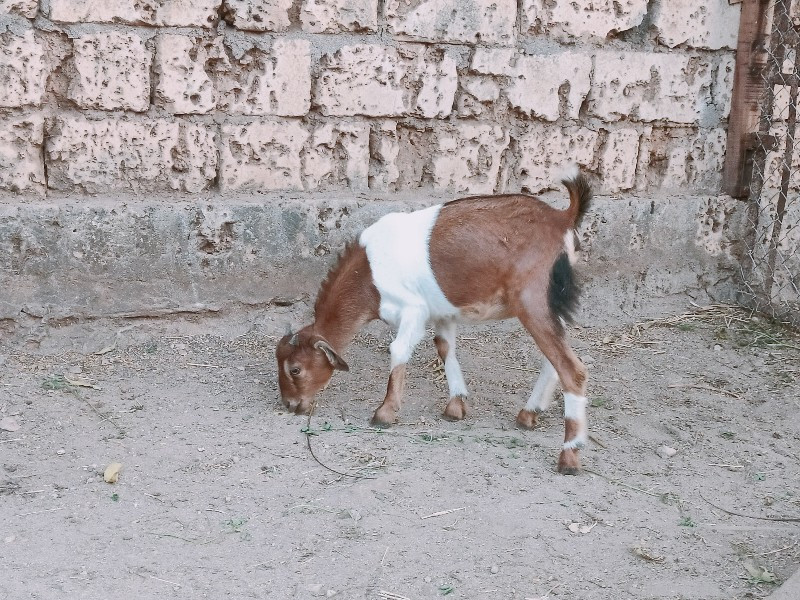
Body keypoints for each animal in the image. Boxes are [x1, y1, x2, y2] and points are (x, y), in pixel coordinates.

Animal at [276, 171, 592, 476]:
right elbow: (444, 347)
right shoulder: (442, 312)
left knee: (572, 369)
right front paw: (455, 406)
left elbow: (398, 350)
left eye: (295, 369)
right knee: (554, 359)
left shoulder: (413, 310)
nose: (290, 405)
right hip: (552, 306)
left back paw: (569, 456)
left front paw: (384, 413)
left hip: (533, 301)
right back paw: (529, 414)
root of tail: (562, 218)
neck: (369, 274)